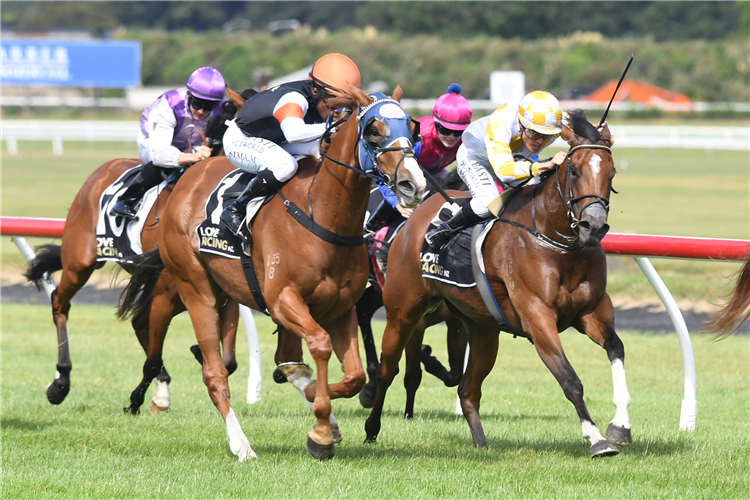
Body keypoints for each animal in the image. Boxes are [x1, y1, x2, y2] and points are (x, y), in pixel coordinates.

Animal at [22, 94, 247, 414]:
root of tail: (101, 171)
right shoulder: (171, 290)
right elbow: (159, 354)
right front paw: (137, 399)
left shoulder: (222, 293)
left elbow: (228, 360)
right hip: (80, 261)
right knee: (60, 303)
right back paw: (60, 382)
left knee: (139, 323)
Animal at [116, 86, 424, 460]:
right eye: (374, 131)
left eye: (413, 128)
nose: (412, 183)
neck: (321, 215)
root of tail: (188, 180)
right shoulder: (282, 301)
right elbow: (319, 345)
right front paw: (320, 428)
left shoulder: (341, 308)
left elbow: (354, 376)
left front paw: (320, 403)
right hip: (195, 288)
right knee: (211, 371)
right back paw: (241, 444)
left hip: (219, 292)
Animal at [362, 109, 628, 458]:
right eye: (574, 170)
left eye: (611, 173)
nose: (593, 227)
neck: (557, 243)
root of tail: (415, 219)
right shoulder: (537, 316)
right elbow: (570, 379)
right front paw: (596, 438)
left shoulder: (592, 310)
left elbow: (616, 348)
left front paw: (621, 425)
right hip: (403, 312)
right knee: (387, 369)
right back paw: (371, 427)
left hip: (481, 329)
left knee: (467, 389)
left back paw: (481, 443)